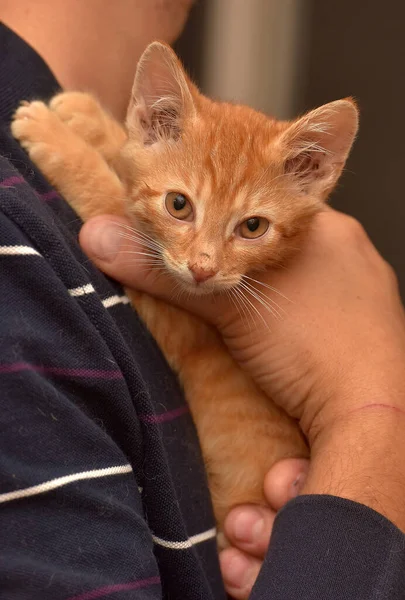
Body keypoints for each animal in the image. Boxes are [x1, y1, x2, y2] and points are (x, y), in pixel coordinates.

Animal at [11, 41, 356, 540]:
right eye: (178, 204)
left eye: (253, 227)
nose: (202, 269)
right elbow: (130, 163)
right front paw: (90, 117)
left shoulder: (175, 311)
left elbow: (109, 197)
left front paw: (55, 135)